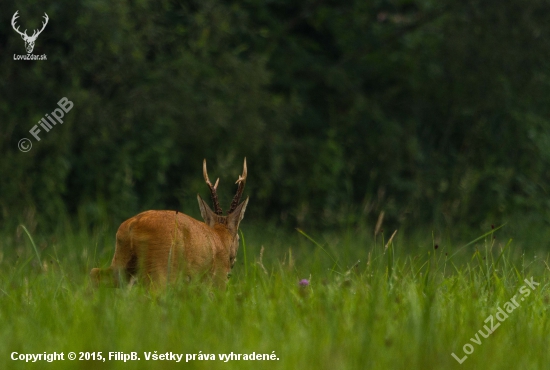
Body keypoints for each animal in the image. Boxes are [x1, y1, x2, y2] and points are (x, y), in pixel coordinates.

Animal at [91, 158, 250, 290]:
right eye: (238, 238)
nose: (233, 260)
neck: (220, 238)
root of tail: (134, 224)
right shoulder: (219, 276)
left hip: (122, 259)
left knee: (96, 273)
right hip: (161, 264)